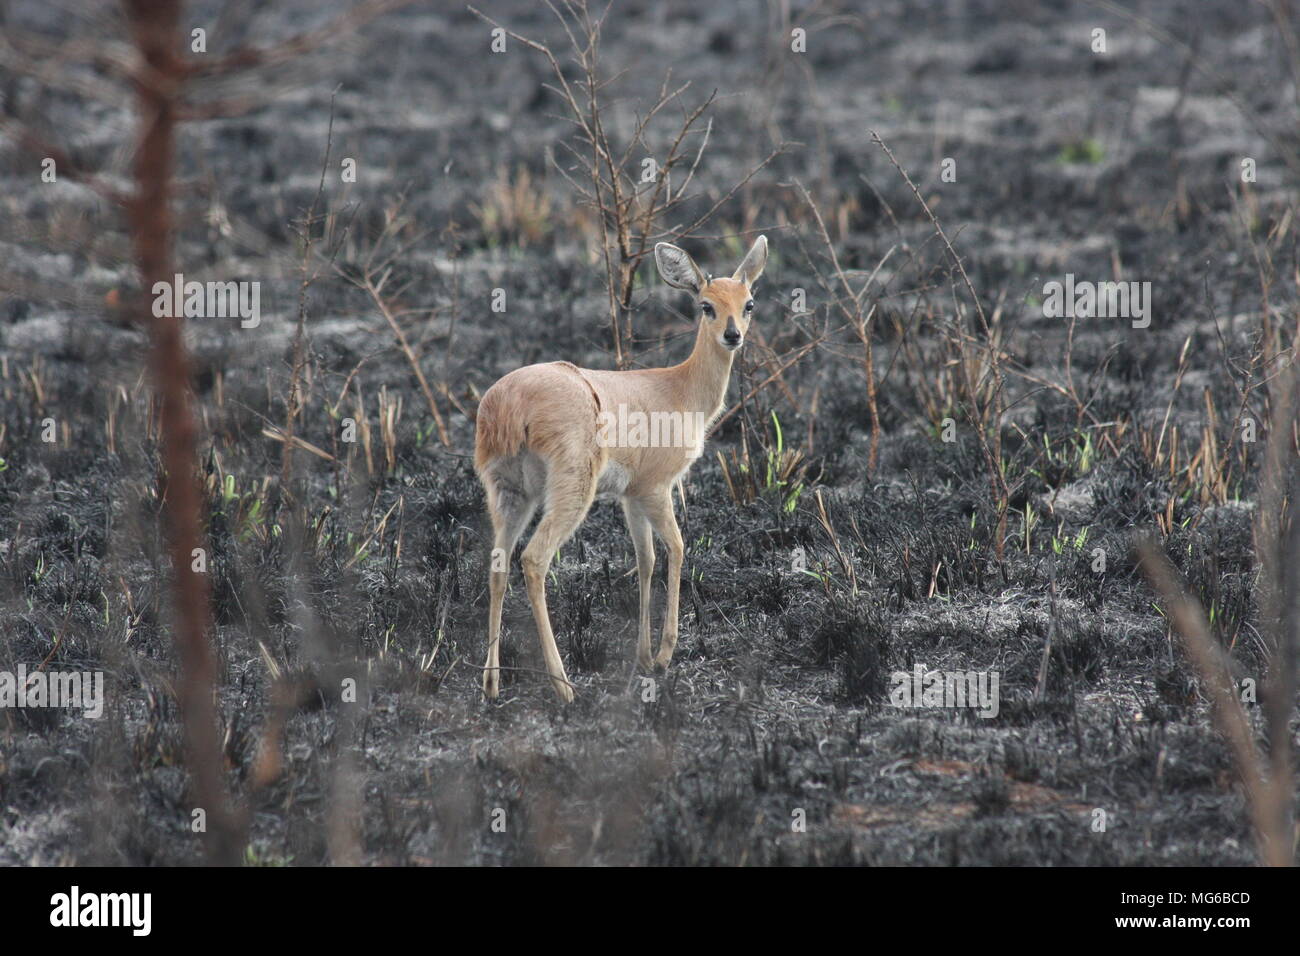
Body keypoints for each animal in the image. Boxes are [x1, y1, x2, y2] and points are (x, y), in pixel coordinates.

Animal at [475, 234, 759, 697]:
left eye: (748, 302)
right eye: (706, 305)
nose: (732, 335)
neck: (680, 391)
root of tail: (507, 403)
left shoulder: (630, 495)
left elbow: (645, 558)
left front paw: (643, 655)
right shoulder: (657, 487)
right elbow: (676, 547)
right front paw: (663, 655)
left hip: (510, 492)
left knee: (498, 564)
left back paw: (492, 685)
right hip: (572, 488)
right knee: (533, 560)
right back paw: (564, 686)